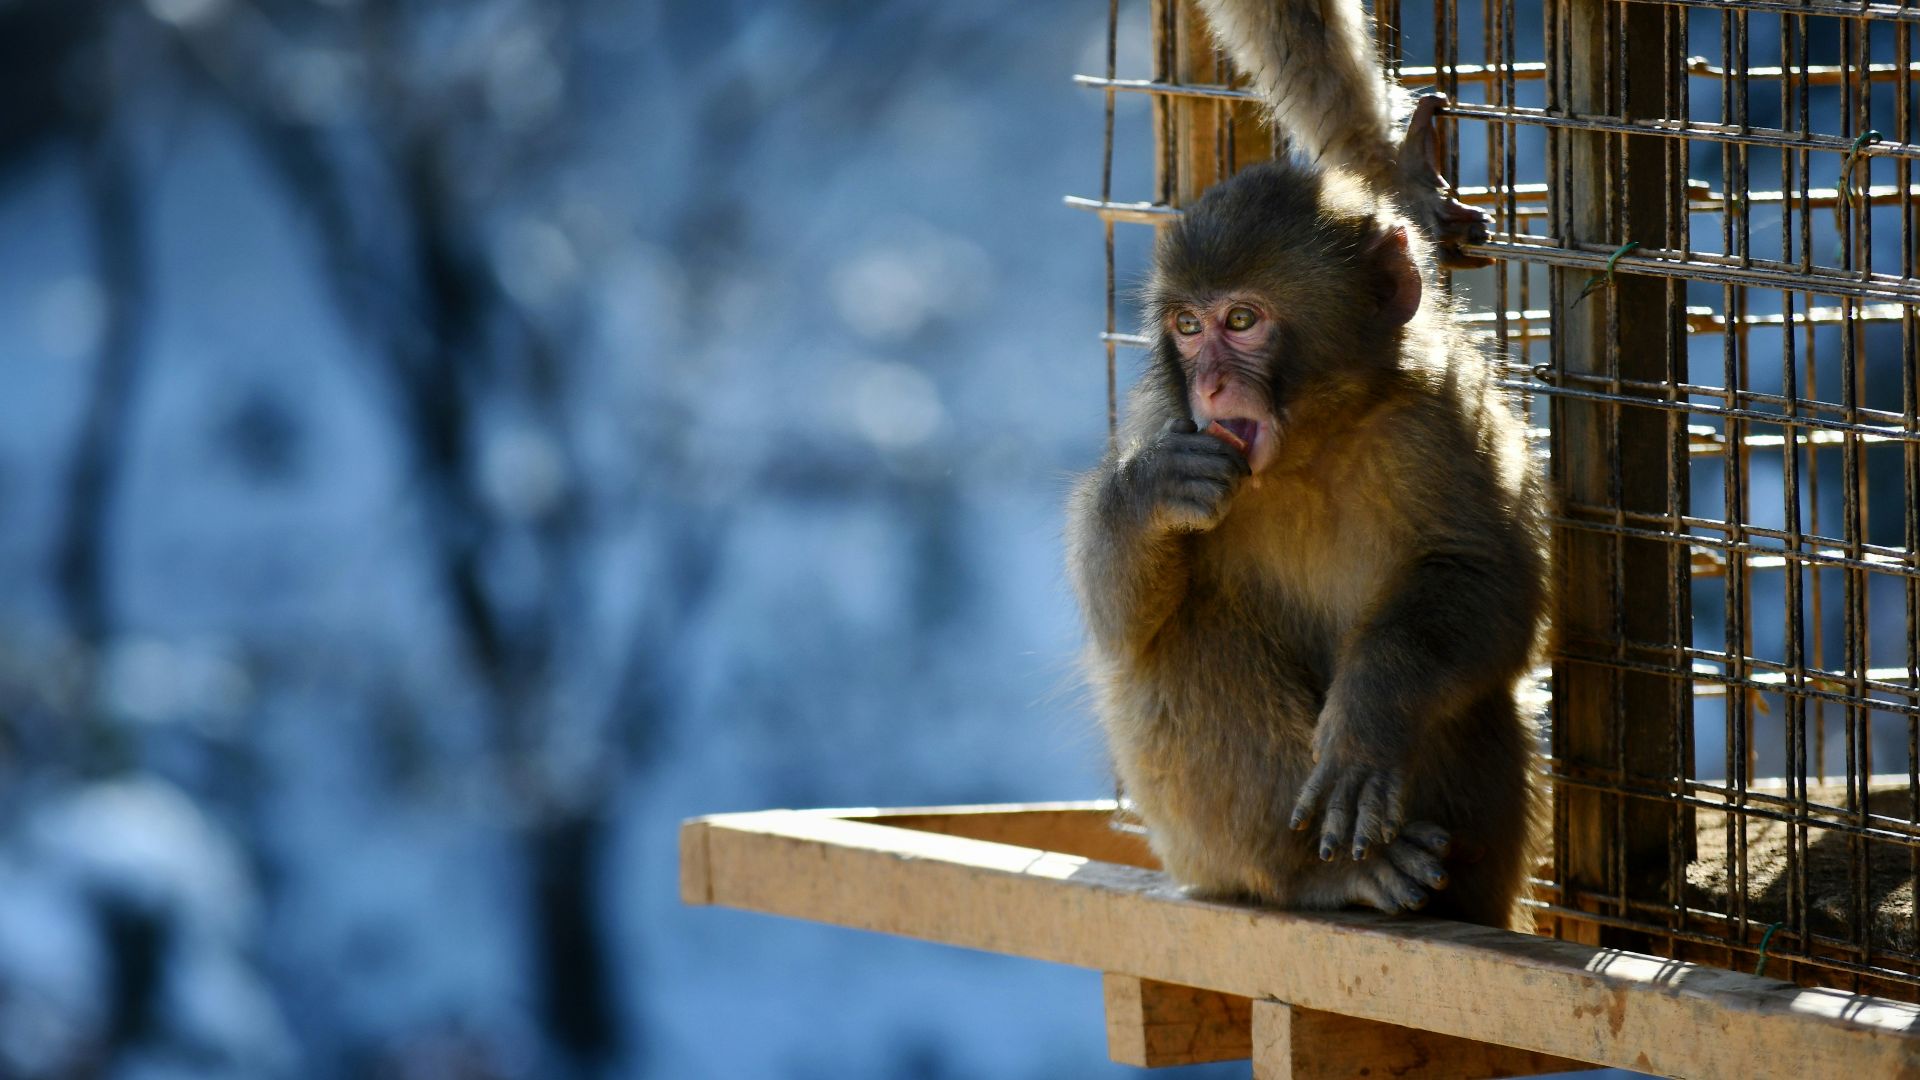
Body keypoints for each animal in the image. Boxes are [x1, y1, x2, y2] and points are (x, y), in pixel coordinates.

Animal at [1066, 158, 1546, 927]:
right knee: (1185, 634)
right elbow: (1121, 627)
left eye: (1240, 320)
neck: (1310, 444)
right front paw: (1147, 494)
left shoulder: (1445, 417)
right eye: (1187, 326)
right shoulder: (1164, 419)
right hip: (1204, 858)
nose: (1210, 384)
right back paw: (1326, 875)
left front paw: (1370, 714)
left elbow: (1485, 578)